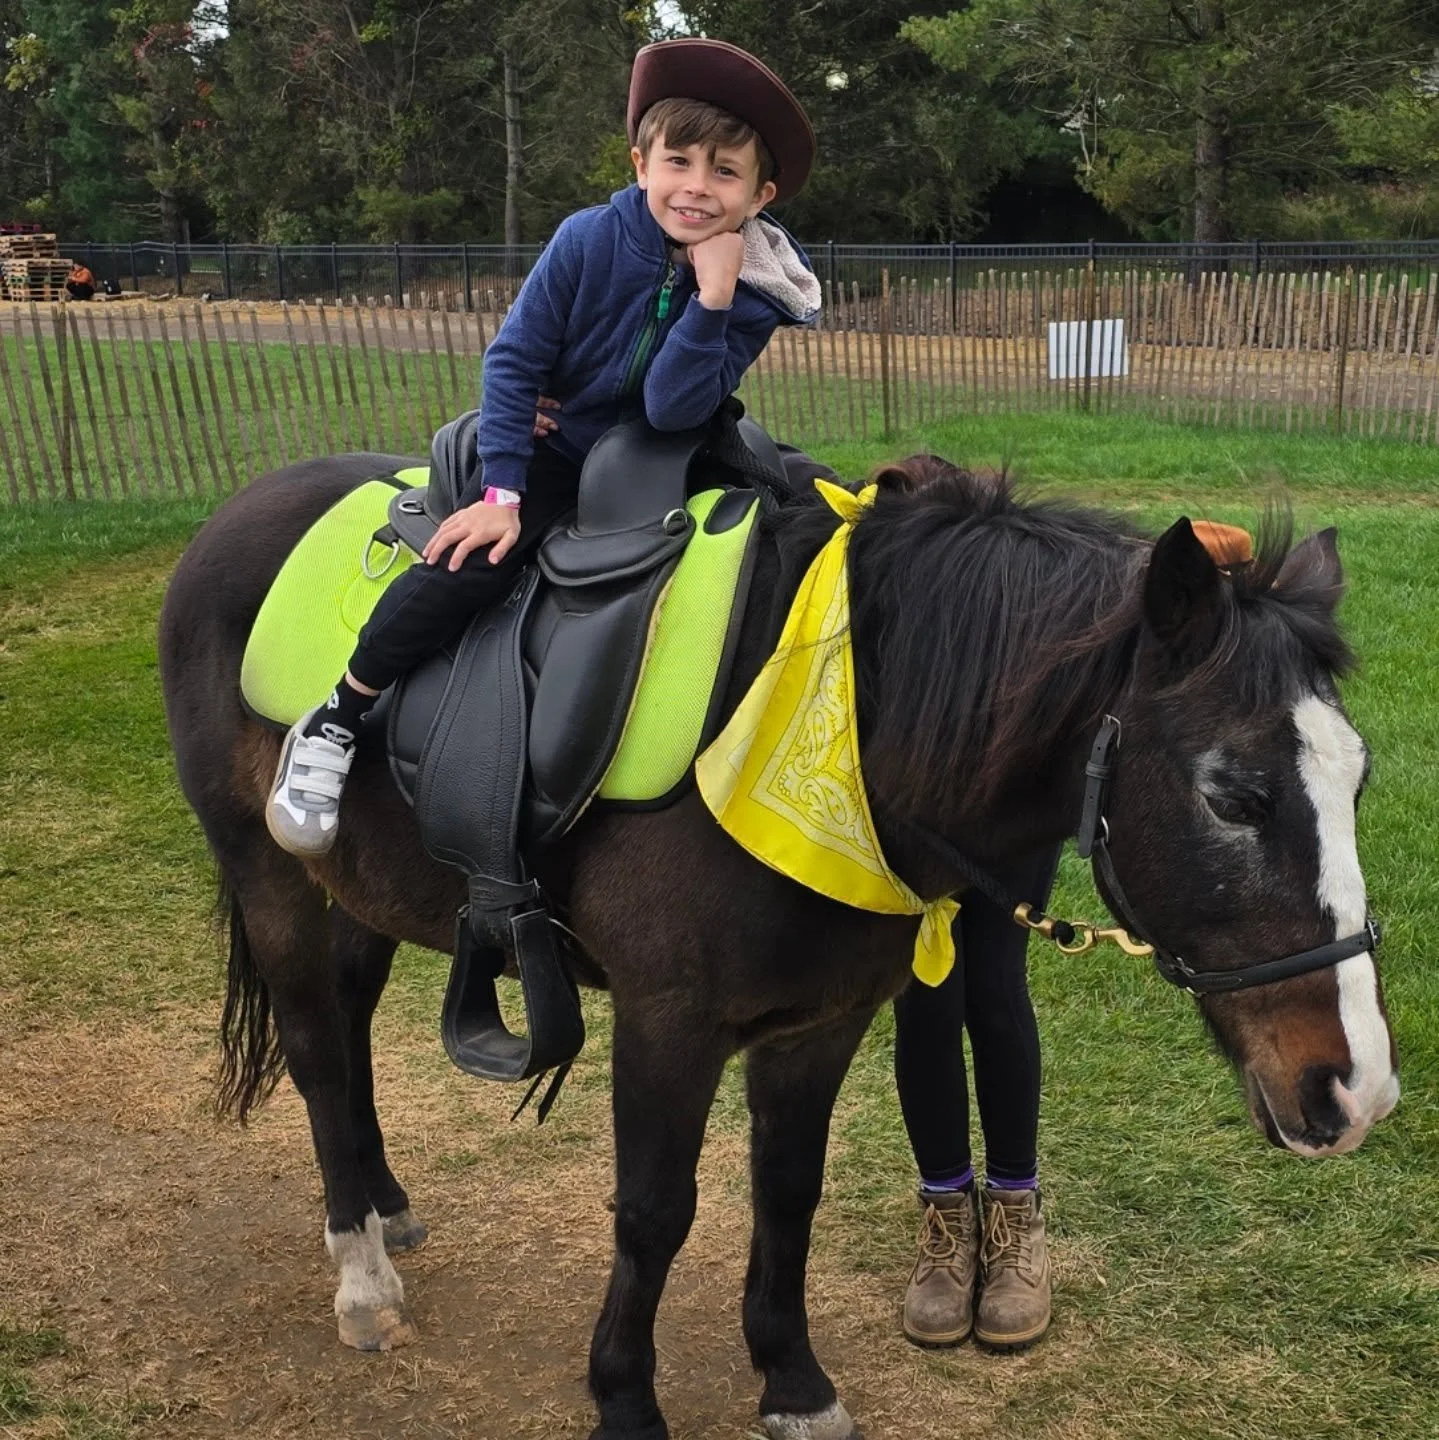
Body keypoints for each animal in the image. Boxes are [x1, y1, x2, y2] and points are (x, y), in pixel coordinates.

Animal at [158, 448, 1398, 1440]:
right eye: (1232, 796)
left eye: (1355, 782)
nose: (1355, 1088)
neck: (837, 716)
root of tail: (241, 510)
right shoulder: (668, 1021)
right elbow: (653, 1212)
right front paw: (624, 1397)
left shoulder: (818, 1025)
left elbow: (785, 1194)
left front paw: (791, 1382)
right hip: (270, 875)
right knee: (316, 1056)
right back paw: (360, 1278)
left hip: (364, 894)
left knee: (351, 1033)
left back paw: (383, 1202)